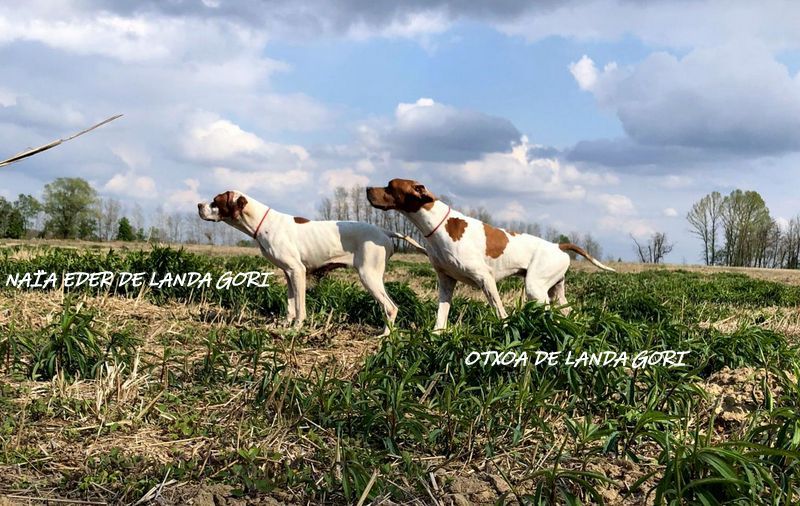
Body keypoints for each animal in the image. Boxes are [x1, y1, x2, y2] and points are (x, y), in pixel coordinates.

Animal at [198, 190, 424, 336]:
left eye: (215, 201)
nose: (199, 205)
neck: (263, 223)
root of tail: (384, 231)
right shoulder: (288, 273)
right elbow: (290, 305)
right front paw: (284, 325)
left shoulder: (298, 271)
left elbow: (300, 307)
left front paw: (296, 328)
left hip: (368, 276)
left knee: (391, 307)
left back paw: (385, 335)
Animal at [366, 180, 616, 330]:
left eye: (390, 186)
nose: (367, 189)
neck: (439, 225)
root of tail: (558, 246)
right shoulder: (446, 281)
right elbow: (441, 315)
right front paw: (437, 335)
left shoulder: (485, 278)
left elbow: (499, 311)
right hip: (555, 290)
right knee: (568, 312)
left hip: (535, 287)